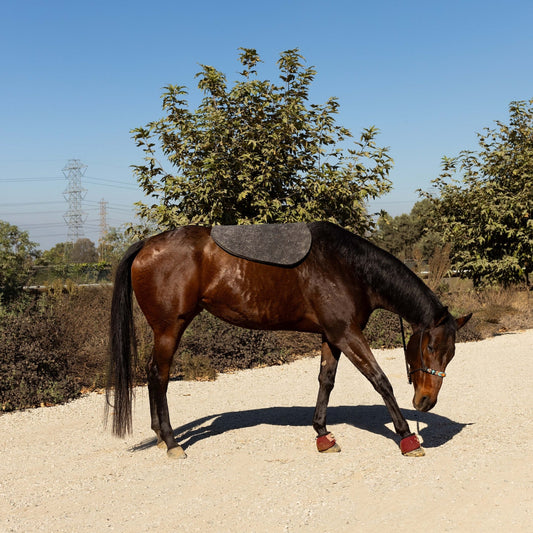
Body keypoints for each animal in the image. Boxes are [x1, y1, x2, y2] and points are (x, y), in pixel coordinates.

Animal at [107, 220, 470, 458]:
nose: (426, 401)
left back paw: (160, 436)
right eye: (430, 347)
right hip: (170, 329)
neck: (347, 266)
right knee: (160, 375)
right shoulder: (347, 333)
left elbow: (326, 381)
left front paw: (323, 434)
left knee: (153, 374)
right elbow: (380, 381)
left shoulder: (332, 336)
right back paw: (171, 442)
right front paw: (407, 438)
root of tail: (146, 244)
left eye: (452, 354)